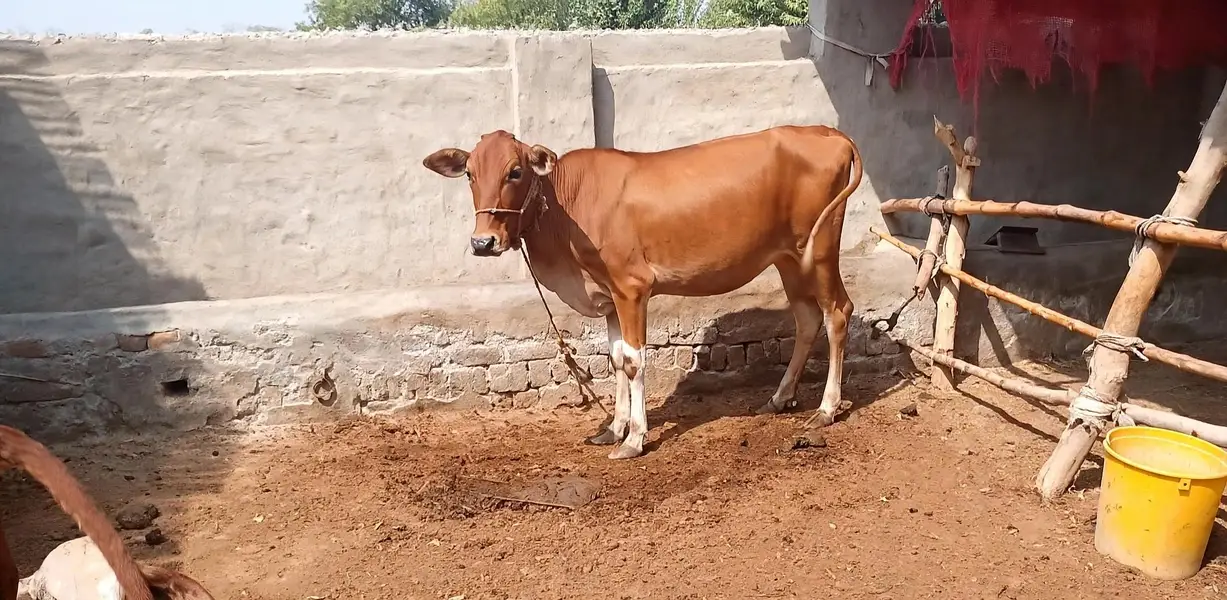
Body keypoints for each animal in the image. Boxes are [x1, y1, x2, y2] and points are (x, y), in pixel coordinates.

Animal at [423, 125, 862, 460]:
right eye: (469, 174)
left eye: (515, 171)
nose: (483, 242)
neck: (567, 205)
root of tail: (830, 133)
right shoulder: (609, 297)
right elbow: (617, 359)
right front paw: (613, 428)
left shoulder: (632, 287)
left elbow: (634, 362)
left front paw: (634, 439)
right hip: (789, 258)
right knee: (807, 318)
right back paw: (779, 397)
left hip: (820, 248)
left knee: (837, 312)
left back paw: (826, 408)